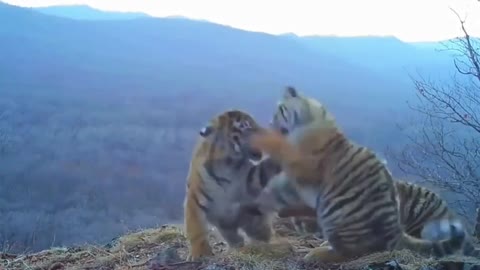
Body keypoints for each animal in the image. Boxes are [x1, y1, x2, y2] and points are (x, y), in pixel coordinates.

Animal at [183, 108, 282, 260]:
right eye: (247, 126)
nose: (269, 134)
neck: (229, 164)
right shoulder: (195, 199)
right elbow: (196, 229)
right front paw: (199, 253)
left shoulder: (250, 180)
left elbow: (264, 169)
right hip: (225, 224)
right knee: (235, 238)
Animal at [238, 87, 474, 264]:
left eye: (279, 111)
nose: (270, 124)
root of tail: (396, 233)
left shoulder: (301, 169)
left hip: (338, 216)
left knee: (352, 251)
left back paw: (316, 253)